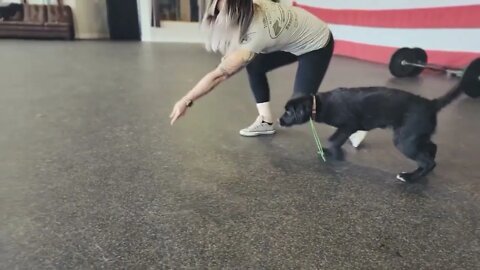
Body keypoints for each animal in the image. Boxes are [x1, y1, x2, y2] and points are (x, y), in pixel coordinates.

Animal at [278, 84, 464, 181]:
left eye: (288, 112)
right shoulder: (345, 128)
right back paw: (421, 170)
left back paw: (410, 177)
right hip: (416, 136)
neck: (319, 103)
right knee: (432, 148)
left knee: (429, 161)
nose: (279, 121)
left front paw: (336, 154)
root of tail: (431, 104)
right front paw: (329, 152)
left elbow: (334, 139)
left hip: (405, 141)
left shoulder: (349, 125)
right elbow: (335, 139)